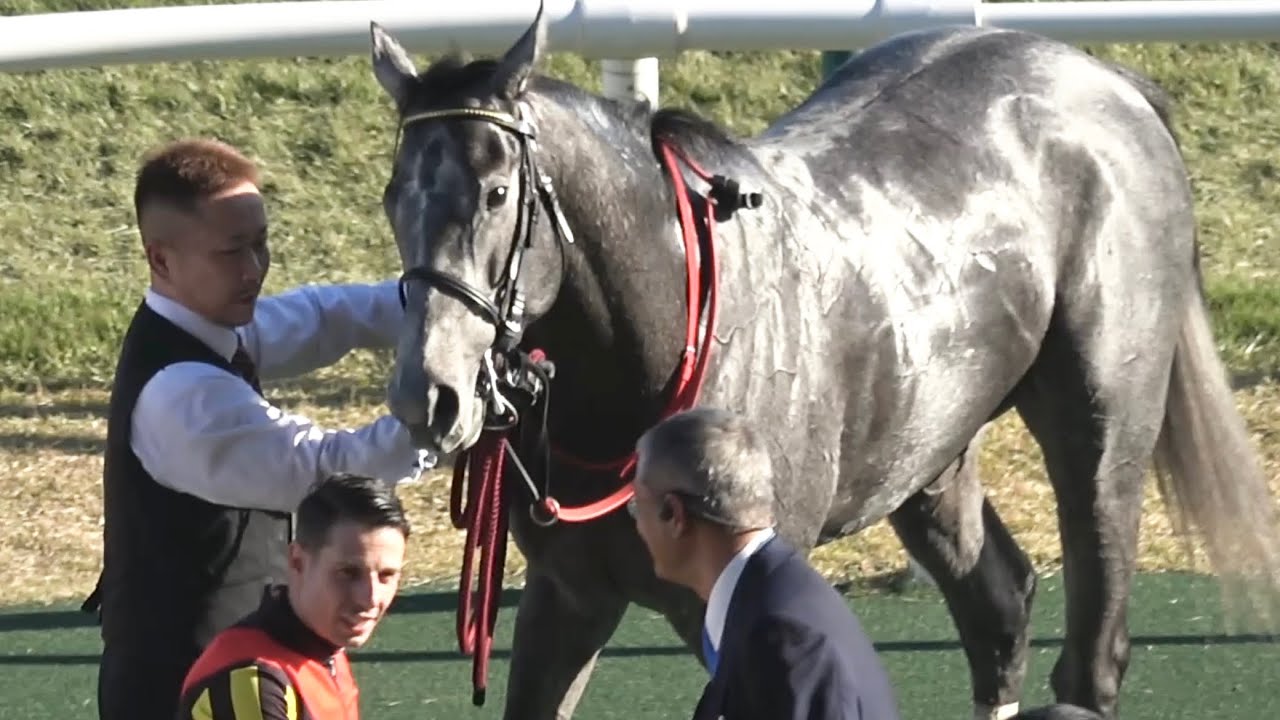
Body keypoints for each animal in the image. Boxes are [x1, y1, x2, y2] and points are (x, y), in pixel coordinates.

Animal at [366, 7, 1280, 719]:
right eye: (394, 196)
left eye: (495, 193)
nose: (429, 396)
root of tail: (1107, 77)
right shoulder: (568, 597)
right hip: (928, 451)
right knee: (999, 606)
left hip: (1101, 420)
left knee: (1091, 649)